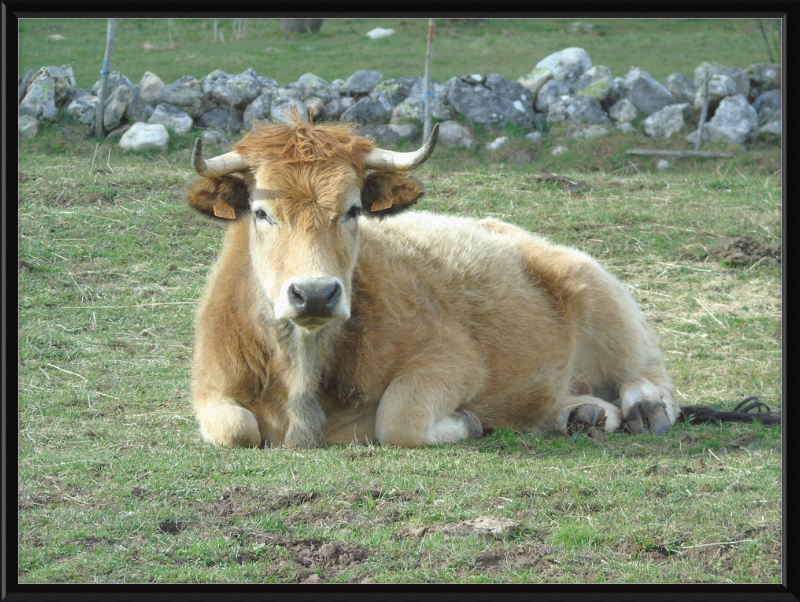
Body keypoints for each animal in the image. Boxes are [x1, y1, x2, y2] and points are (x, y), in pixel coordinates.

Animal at [186, 116, 680, 446]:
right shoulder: (210, 389)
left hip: (601, 295)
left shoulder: (454, 360)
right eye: (261, 212)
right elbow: (235, 429)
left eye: (353, 209)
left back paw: (644, 409)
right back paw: (582, 415)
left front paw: (466, 422)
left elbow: (398, 418)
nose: (314, 294)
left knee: (651, 378)